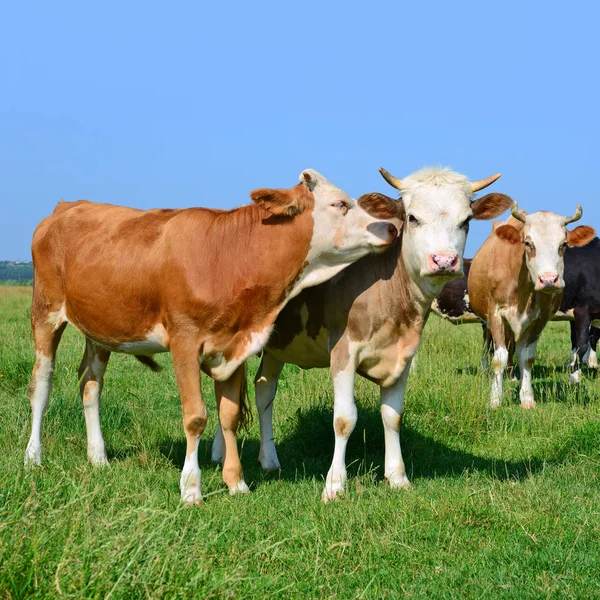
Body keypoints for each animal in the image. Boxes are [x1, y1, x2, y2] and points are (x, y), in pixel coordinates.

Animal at [25, 169, 398, 502]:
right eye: (340, 204)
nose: (390, 227)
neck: (228, 256)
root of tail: (66, 206)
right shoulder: (184, 341)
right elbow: (196, 417)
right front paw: (191, 488)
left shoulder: (232, 344)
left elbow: (228, 416)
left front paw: (236, 483)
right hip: (45, 312)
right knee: (42, 382)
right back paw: (33, 456)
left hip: (100, 329)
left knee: (91, 383)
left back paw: (98, 457)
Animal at [210, 165, 510, 502]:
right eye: (412, 217)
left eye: (466, 221)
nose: (444, 260)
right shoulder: (344, 350)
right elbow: (344, 419)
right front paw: (334, 484)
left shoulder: (404, 355)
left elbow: (393, 415)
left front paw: (397, 477)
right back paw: (223, 455)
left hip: (279, 346)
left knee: (263, 390)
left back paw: (267, 459)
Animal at [466, 205, 592, 408]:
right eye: (528, 243)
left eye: (563, 244)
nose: (548, 280)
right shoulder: (495, 313)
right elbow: (499, 358)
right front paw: (495, 399)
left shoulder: (539, 319)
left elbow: (527, 356)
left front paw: (527, 397)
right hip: (485, 321)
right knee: (488, 345)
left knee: (514, 348)